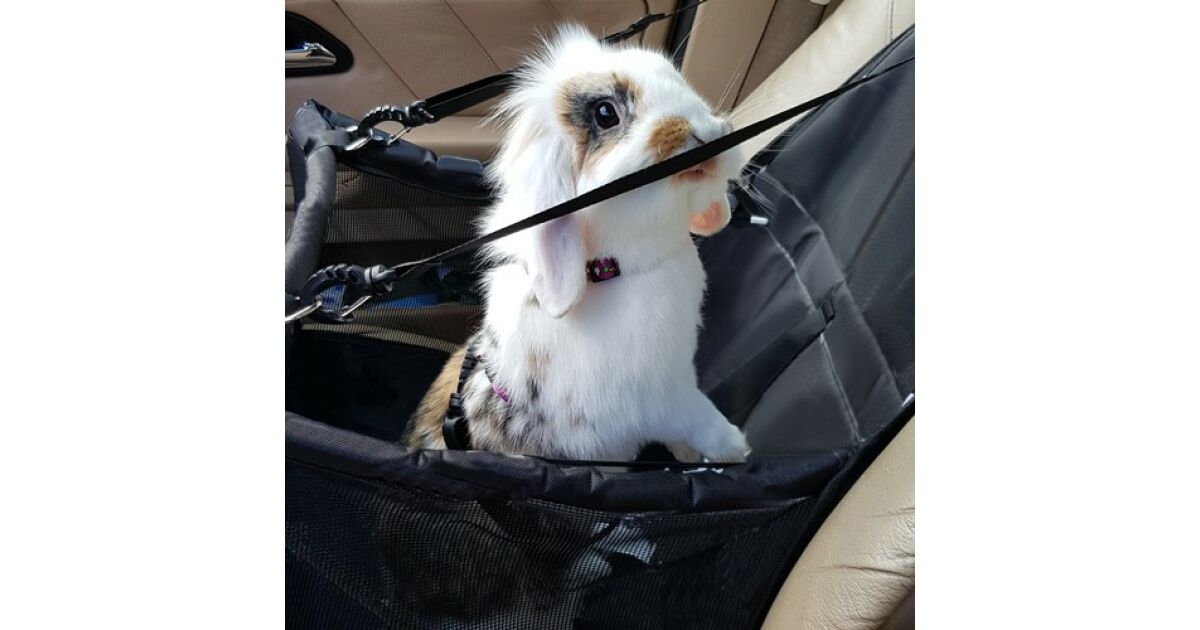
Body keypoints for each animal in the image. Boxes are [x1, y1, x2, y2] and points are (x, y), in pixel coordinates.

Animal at [405, 24, 750, 462]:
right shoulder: (663, 399)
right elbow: (700, 420)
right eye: (606, 114)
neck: (612, 270)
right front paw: (736, 449)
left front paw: (696, 459)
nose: (711, 132)